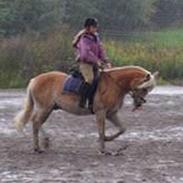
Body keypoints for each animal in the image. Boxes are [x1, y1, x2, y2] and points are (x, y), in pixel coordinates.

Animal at [14, 66, 158, 154]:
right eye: (144, 88)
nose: (139, 104)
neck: (114, 84)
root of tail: (35, 79)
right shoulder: (101, 112)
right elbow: (101, 130)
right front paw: (103, 149)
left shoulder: (111, 113)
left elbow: (122, 128)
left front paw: (108, 140)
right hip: (44, 108)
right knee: (36, 122)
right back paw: (38, 147)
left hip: (49, 109)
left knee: (36, 122)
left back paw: (45, 142)